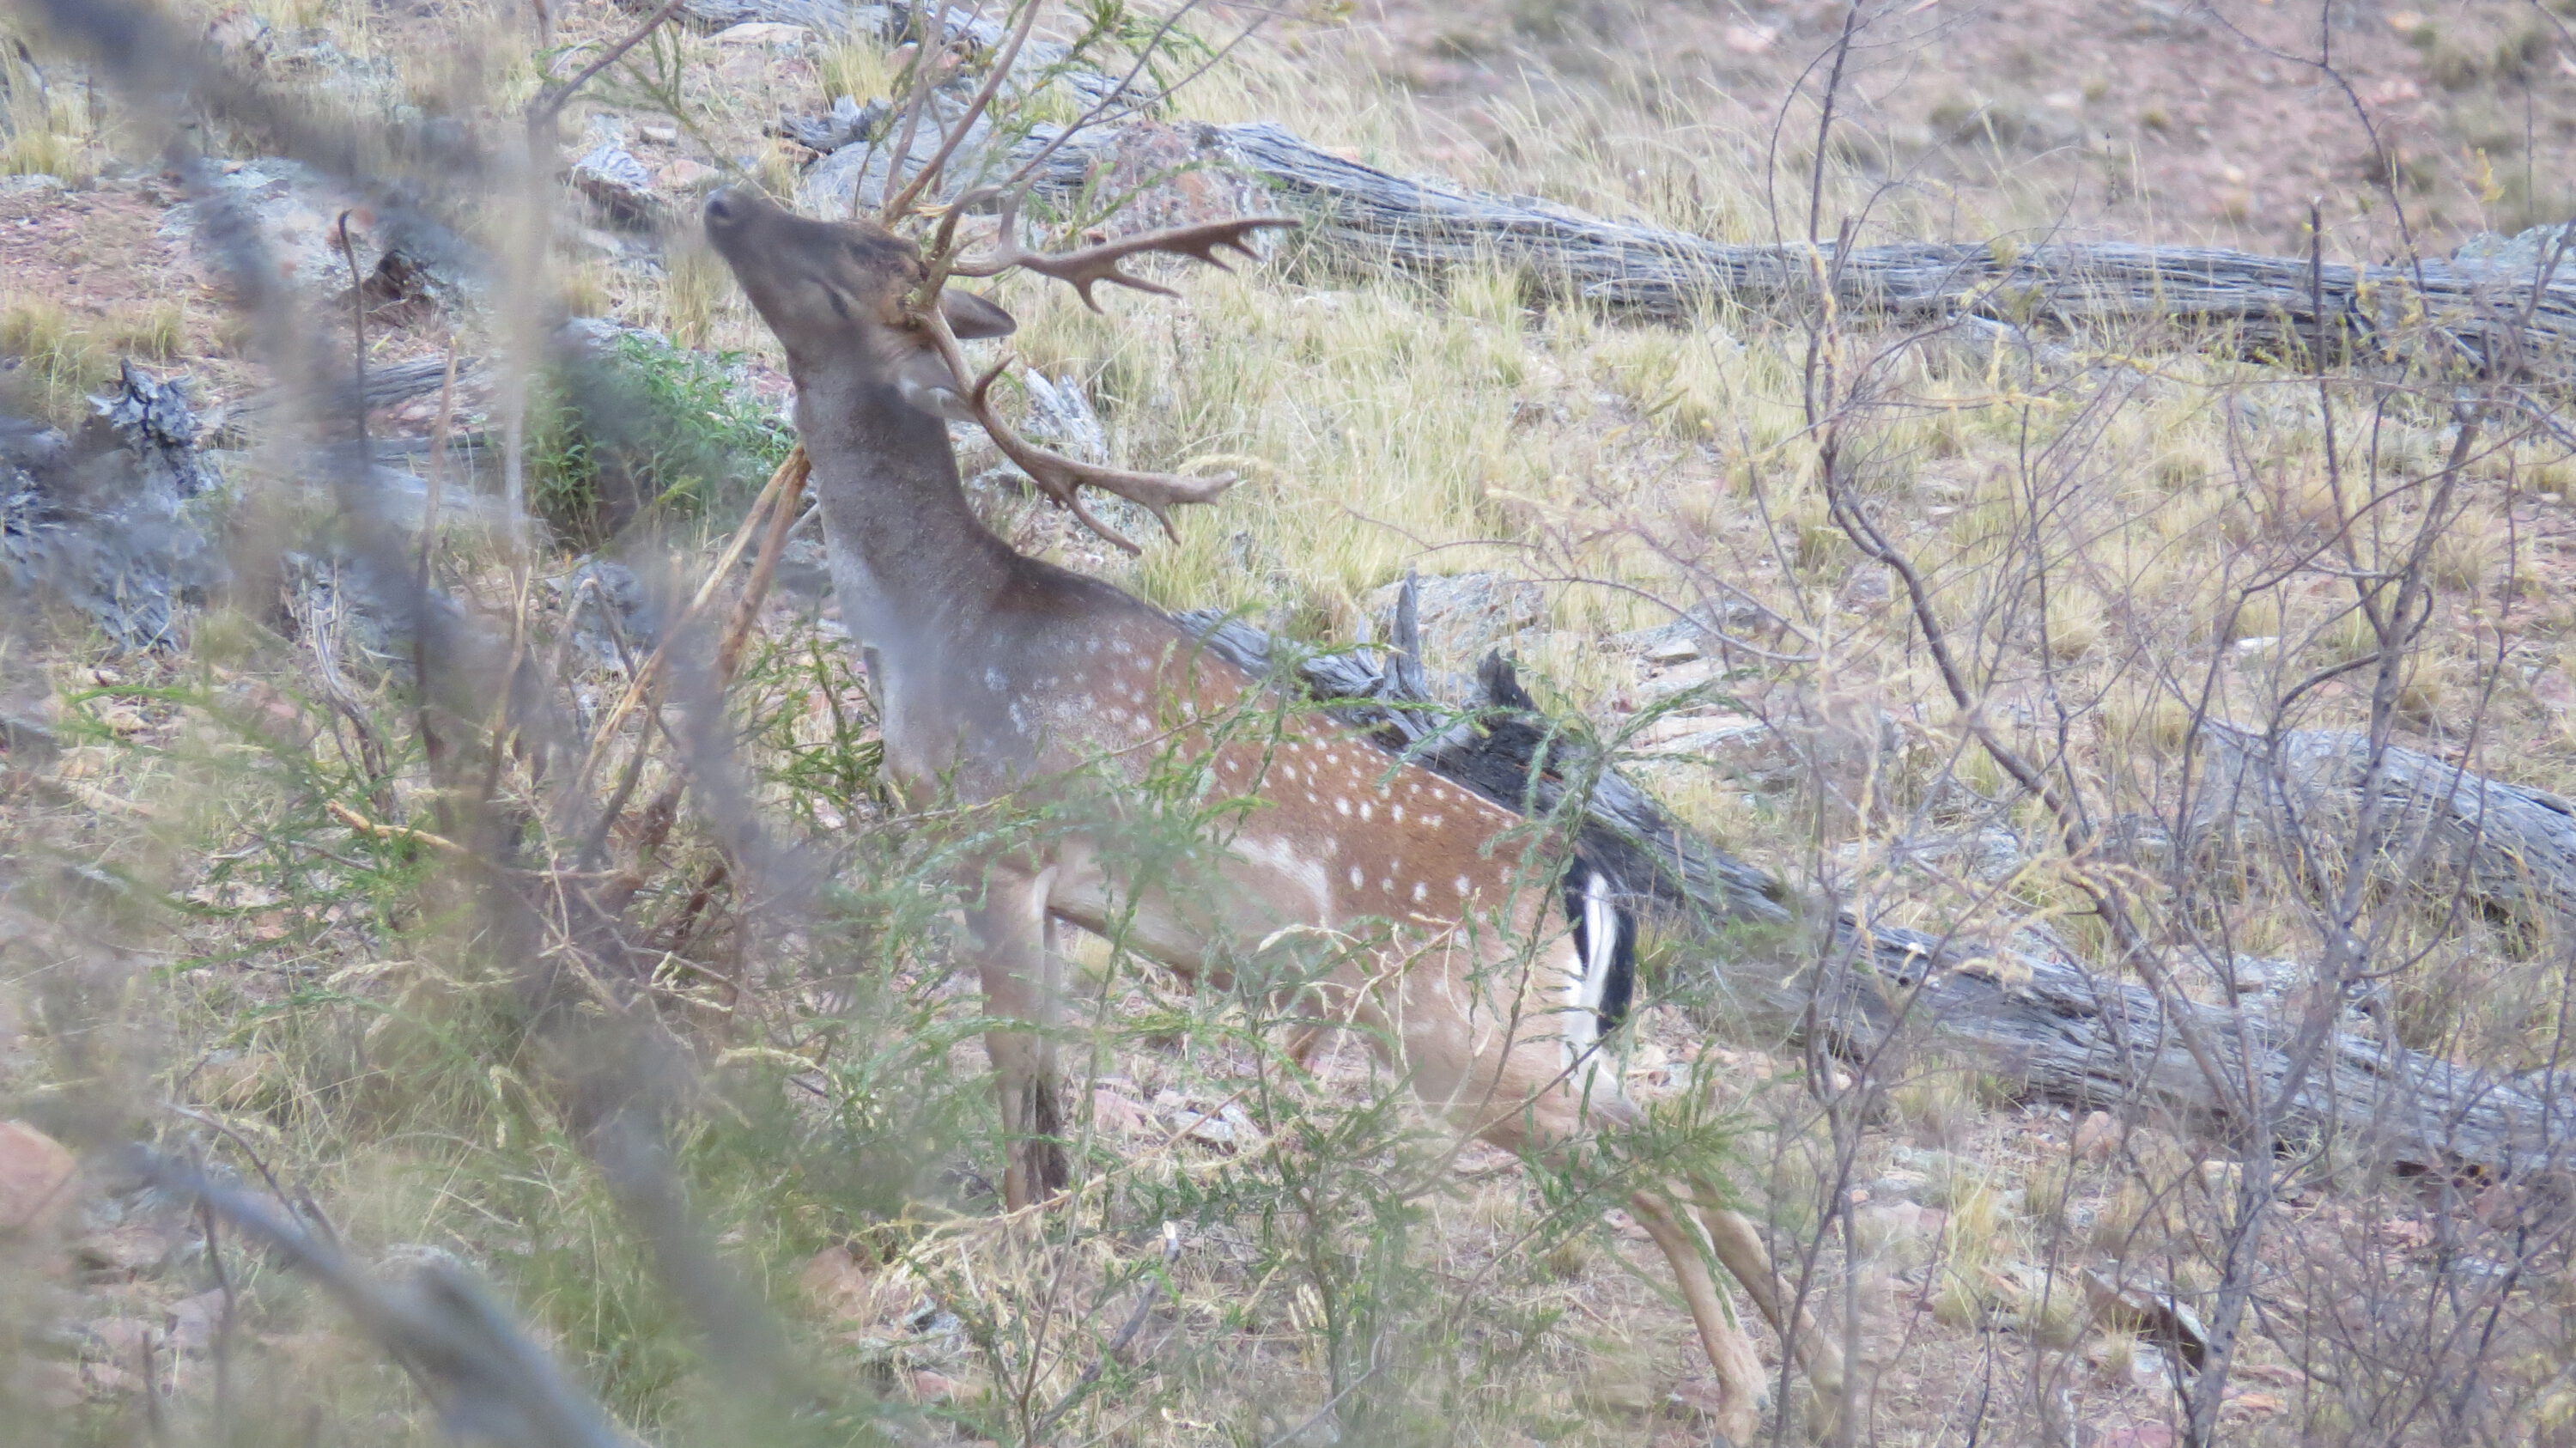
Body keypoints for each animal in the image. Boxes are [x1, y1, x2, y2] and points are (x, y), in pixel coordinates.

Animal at [696, 183, 1844, 1433]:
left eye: (862, 258)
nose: (726, 199)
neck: (937, 627)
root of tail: (1576, 877)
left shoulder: (1004, 838)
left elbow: (1013, 1076)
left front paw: (1001, 1244)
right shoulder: (1042, 886)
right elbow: (1044, 1094)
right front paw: (1047, 1225)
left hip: (1460, 1033)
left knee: (1651, 1172)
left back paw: (1747, 1396)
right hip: (1551, 1036)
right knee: (1683, 1152)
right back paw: (1824, 1372)